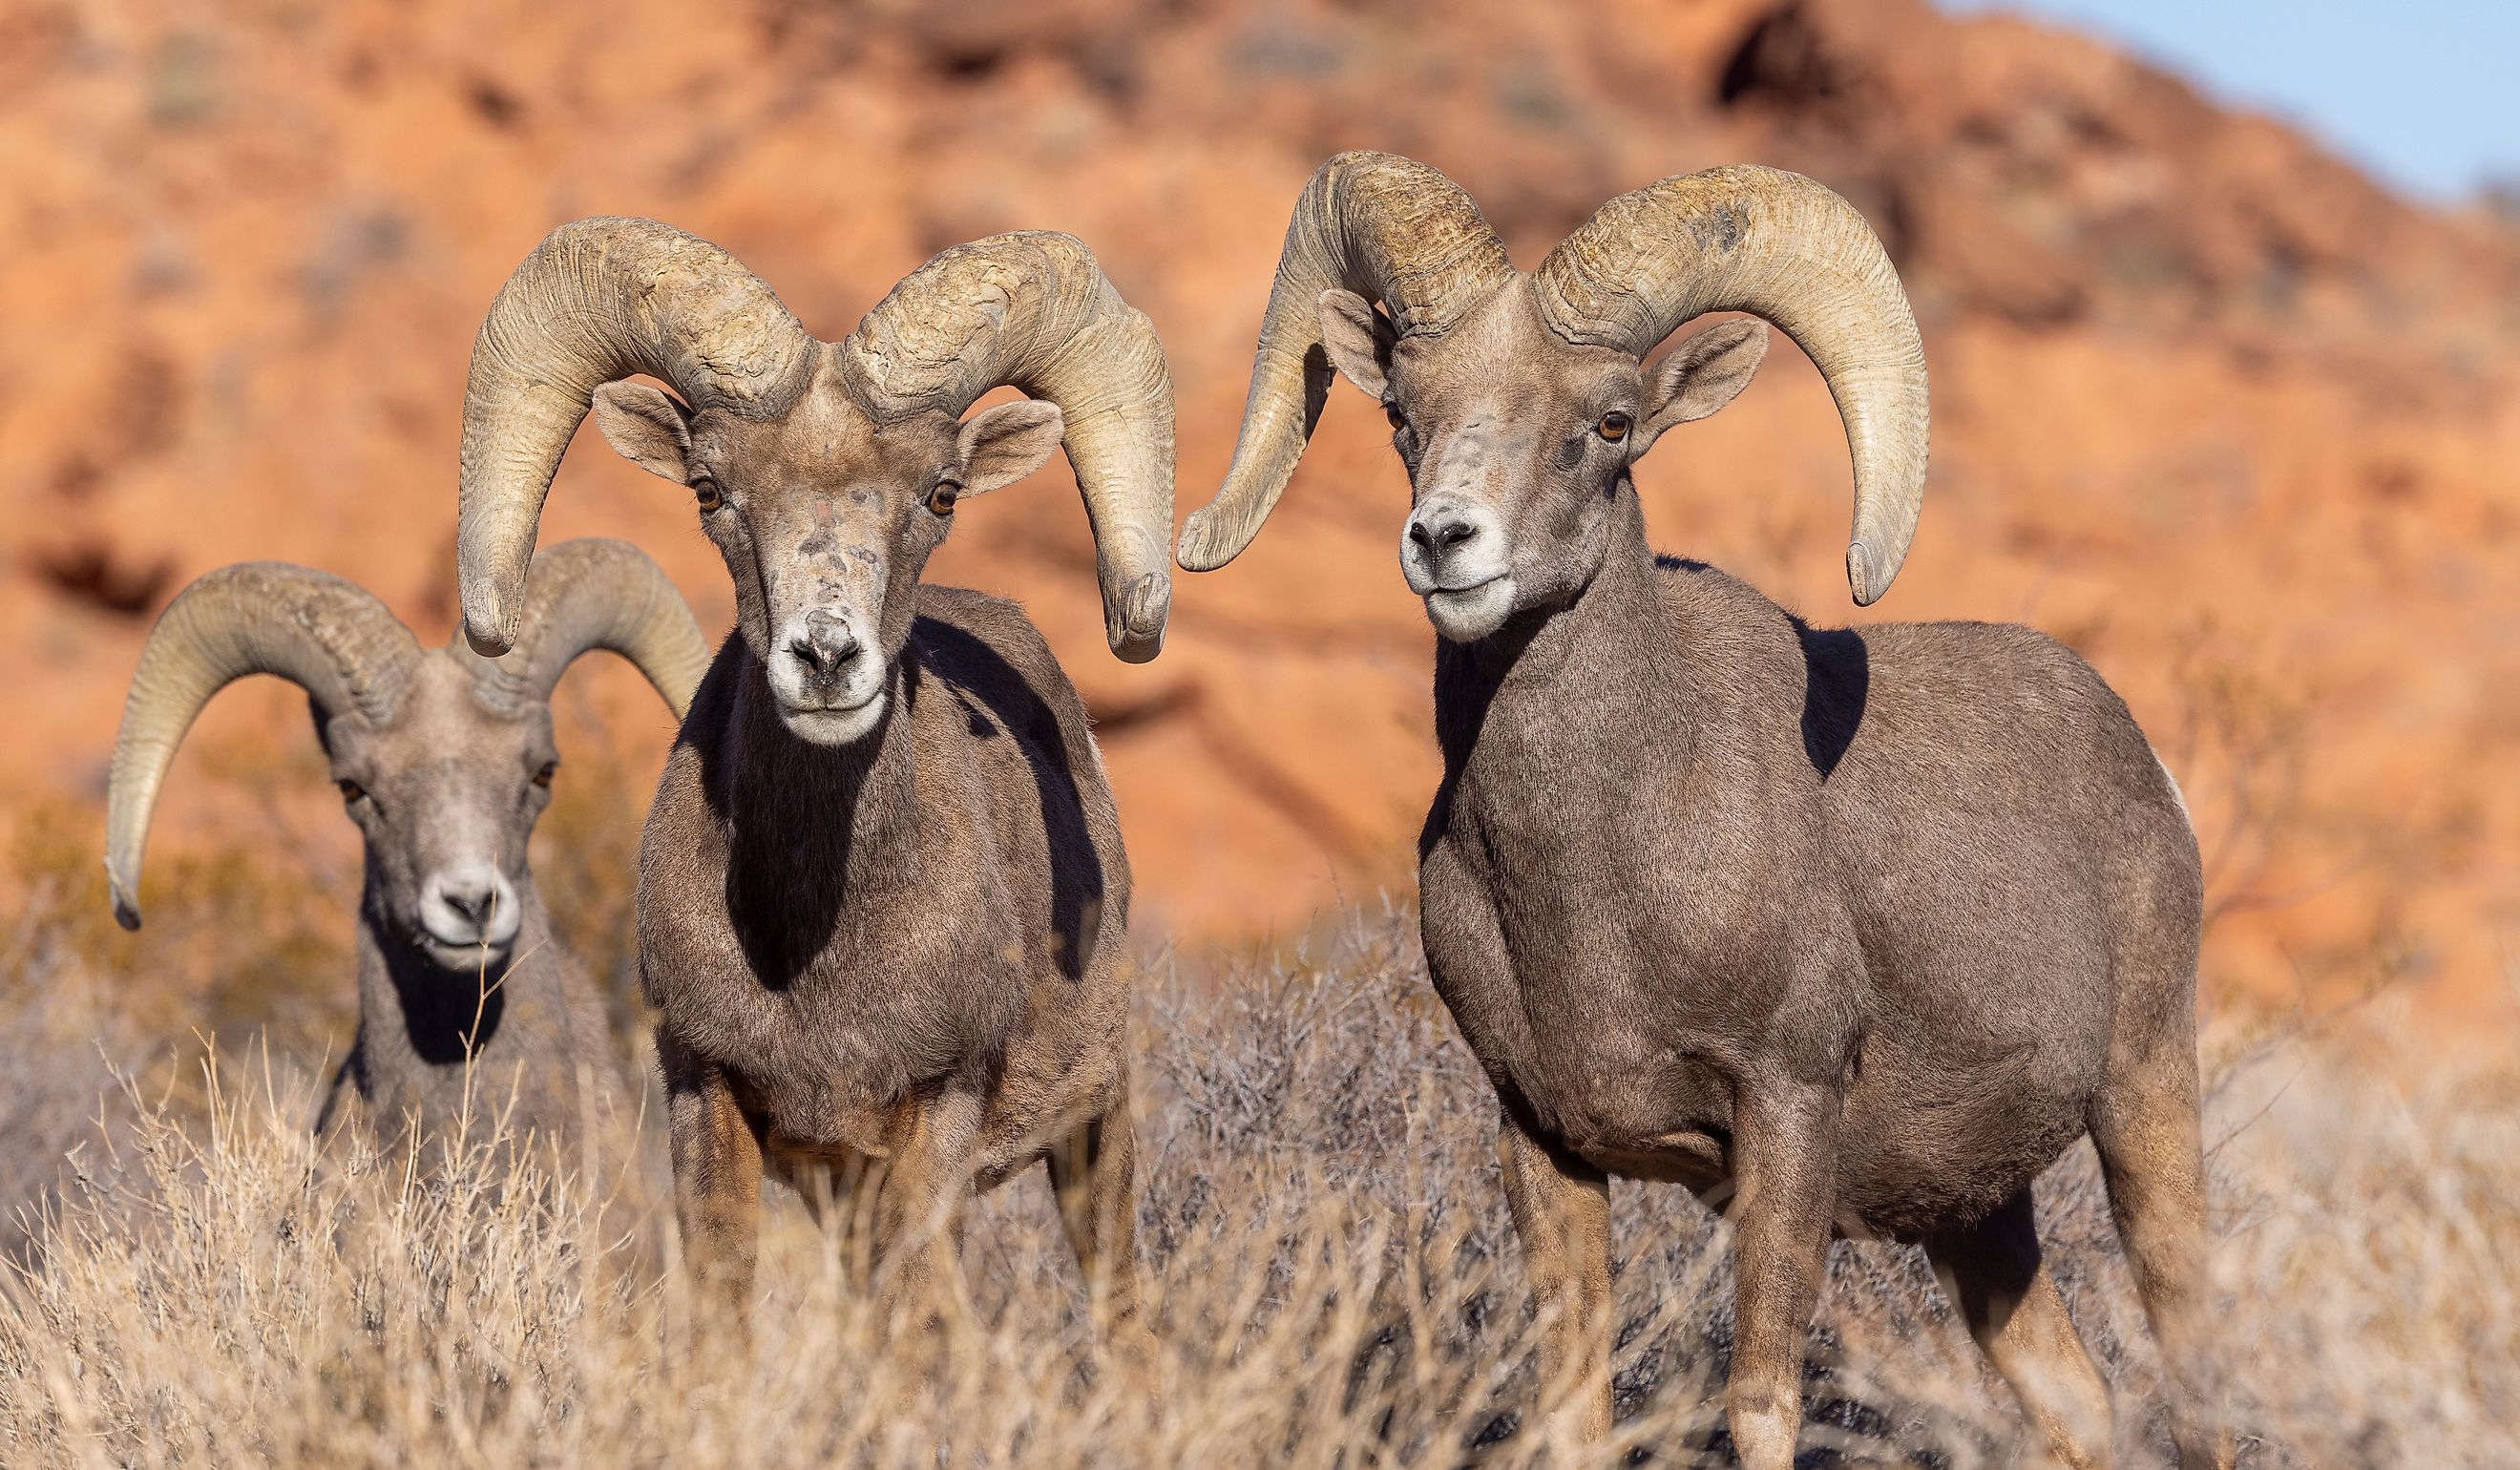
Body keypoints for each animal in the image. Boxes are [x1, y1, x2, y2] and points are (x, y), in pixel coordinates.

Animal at [450, 219, 1173, 1351]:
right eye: (709, 489)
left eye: (941, 492)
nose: (826, 659)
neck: (813, 946)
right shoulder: (708, 1099)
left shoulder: (934, 1113)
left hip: (1094, 1131)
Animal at [1178, 152, 2226, 1470]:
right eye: (1404, 415)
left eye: (1611, 423)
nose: (1444, 542)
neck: (1600, 876)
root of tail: (2146, 767)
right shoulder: (1541, 1138)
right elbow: (1572, 1404)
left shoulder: (1787, 1112)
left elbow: (1760, 1396)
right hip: (1977, 1219)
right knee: (2076, 1400)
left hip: (2146, 1101)